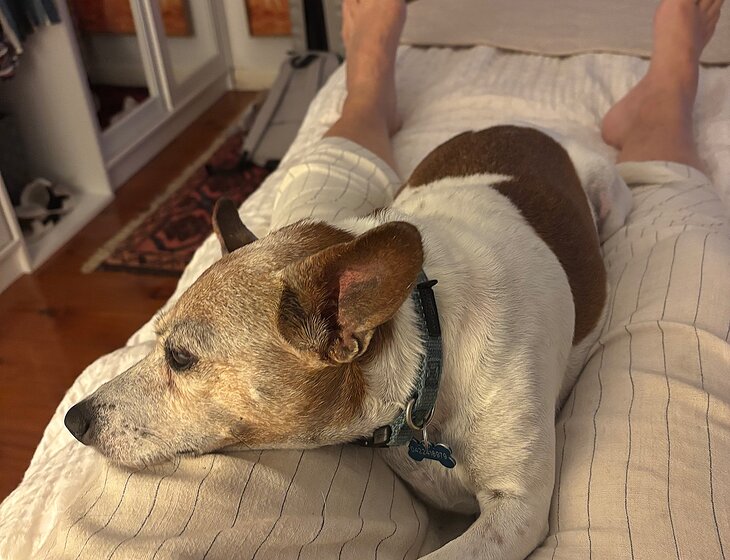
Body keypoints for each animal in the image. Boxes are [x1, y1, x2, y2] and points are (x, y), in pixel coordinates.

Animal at [64, 125, 631, 559]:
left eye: (180, 358)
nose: (73, 420)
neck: (427, 347)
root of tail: (528, 128)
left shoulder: (517, 511)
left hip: (611, 202)